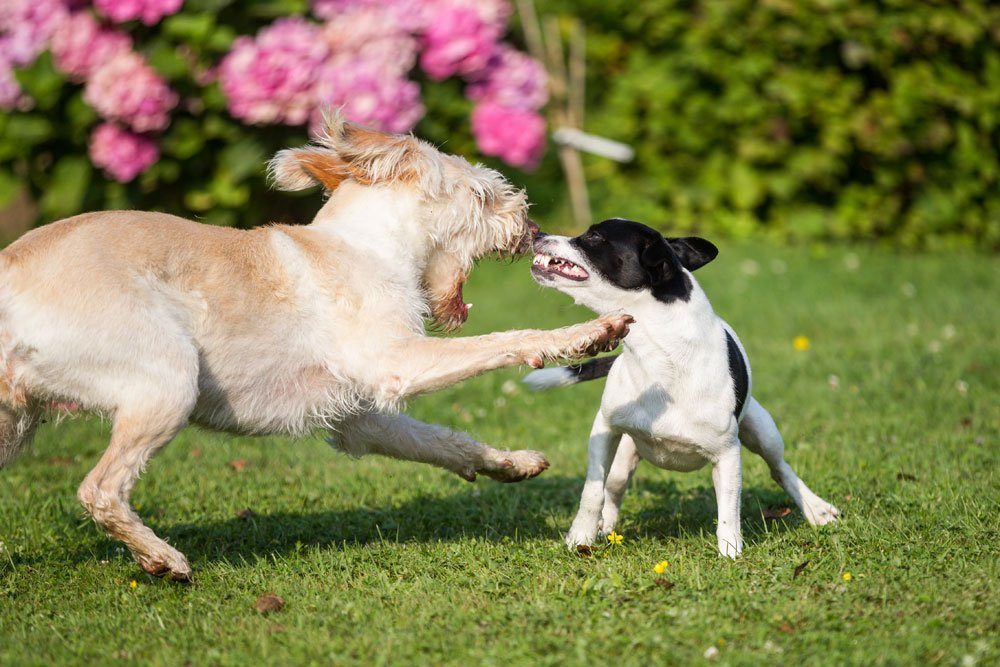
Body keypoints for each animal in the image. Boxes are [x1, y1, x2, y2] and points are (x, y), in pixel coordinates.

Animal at [0, 115, 624, 580]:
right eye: (484, 193)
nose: (531, 227)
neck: (366, 247)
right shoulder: (397, 363)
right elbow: (507, 339)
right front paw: (588, 333)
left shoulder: (361, 418)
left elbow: (445, 441)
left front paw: (512, 463)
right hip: (167, 380)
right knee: (99, 490)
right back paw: (163, 558)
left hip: (17, 421)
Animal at [528, 219, 840, 560]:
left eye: (595, 236)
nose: (538, 233)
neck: (658, 357)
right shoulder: (605, 429)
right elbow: (592, 490)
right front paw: (580, 536)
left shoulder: (728, 454)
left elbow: (729, 508)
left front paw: (730, 552)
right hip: (624, 454)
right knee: (614, 487)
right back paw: (604, 527)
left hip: (763, 431)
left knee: (780, 469)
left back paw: (816, 508)